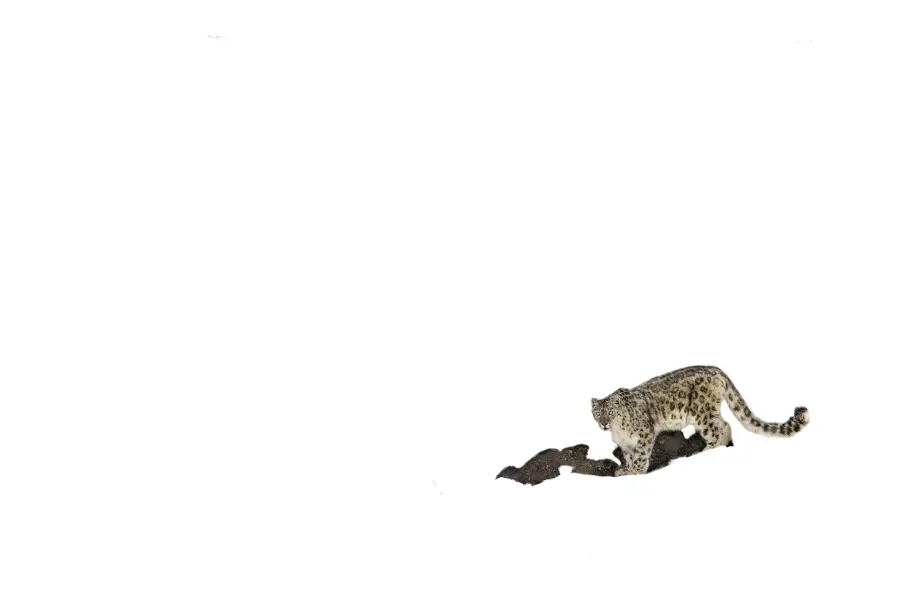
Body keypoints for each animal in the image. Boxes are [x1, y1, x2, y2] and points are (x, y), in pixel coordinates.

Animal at [591, 365, 809, 476]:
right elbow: (628, 456)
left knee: (723, 426)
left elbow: (641, 456)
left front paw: (635, 472)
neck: (618, 431)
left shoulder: (644, 434)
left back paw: (708, 450)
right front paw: (625, 470)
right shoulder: (625, 443)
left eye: (611, 411)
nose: (604, 423)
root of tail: (718, 371)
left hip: (701, 413)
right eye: (597, 413)